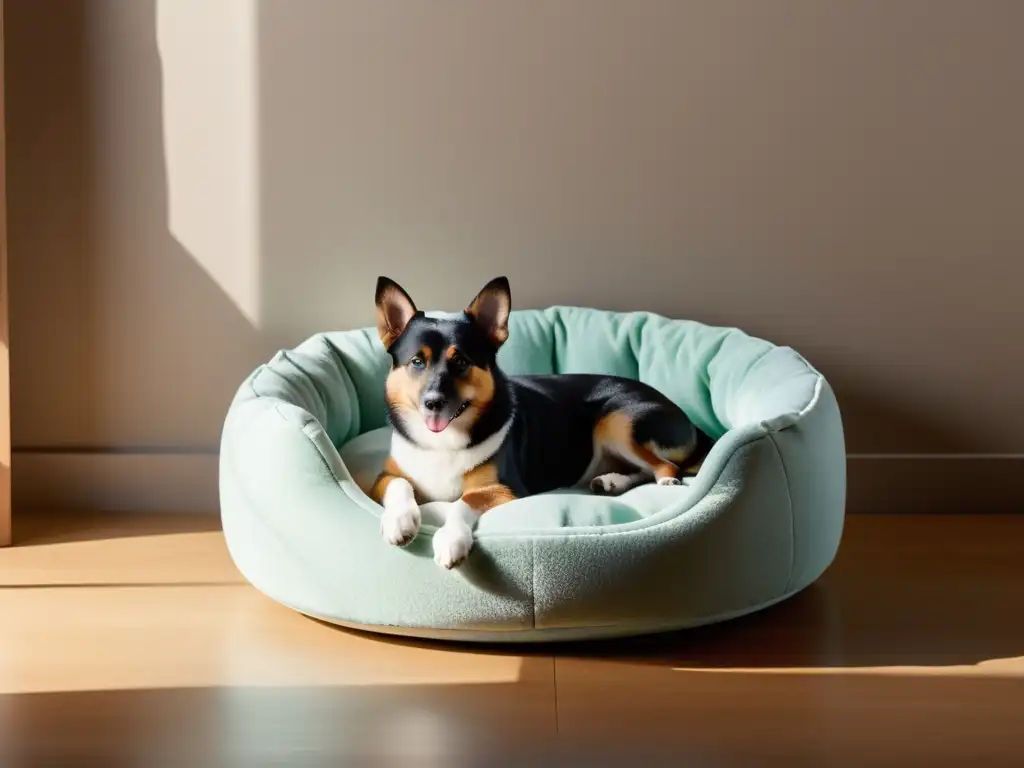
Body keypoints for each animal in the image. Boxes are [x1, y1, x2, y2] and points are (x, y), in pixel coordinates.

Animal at [370, 274, 712, 569]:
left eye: (461, 362)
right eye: (417, 361)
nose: (433, 403)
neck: (442, 441)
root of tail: (689, 423)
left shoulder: (506, 488)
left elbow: (461, 501)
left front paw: (451, 540)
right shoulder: (384, 477)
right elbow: (400, 483)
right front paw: (399, 521)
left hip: (616, 420)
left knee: (666, 467)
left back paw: (659, 481)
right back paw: (612, 481)